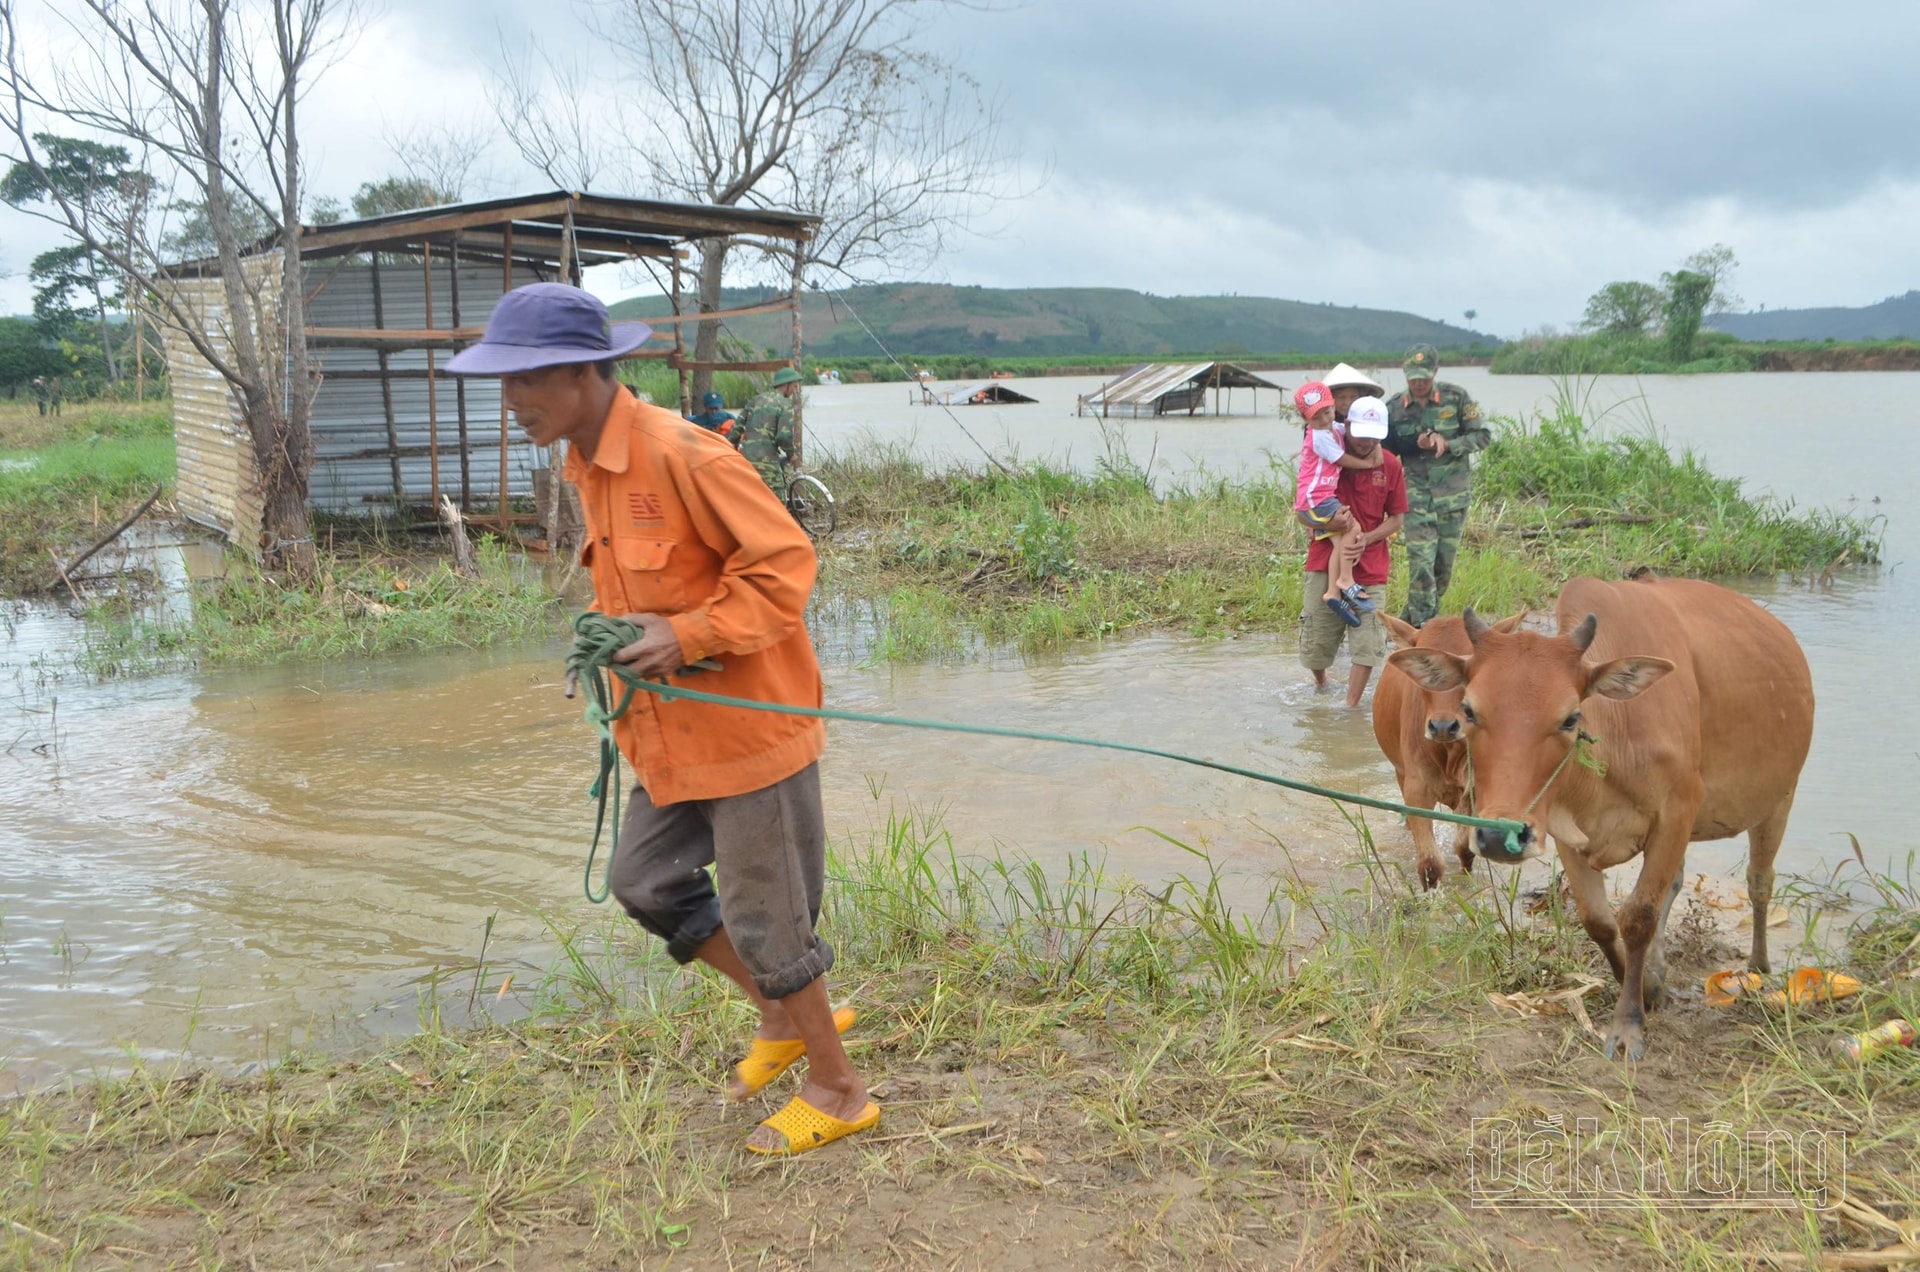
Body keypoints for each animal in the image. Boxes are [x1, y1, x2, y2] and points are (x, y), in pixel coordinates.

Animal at [1374, 614, 1520, 891]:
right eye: (1424, 669)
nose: (1443, 726)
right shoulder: (1416, 789)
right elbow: (1430, 865)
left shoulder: (1474, 789)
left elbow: (1465, 848)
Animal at [1390, 580, 1804, 1068]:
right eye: (1470, 710)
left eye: (1571, 717)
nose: (1497, 836)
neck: (1616, 740)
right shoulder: (1565, 831)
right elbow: (1600, 922)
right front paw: (1643, 986)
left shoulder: (1677, 815)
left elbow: (1639, 918)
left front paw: (1629, 1025)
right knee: (1679, 883)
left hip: (1779, 800)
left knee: (1759, 883)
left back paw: (1758, 968)